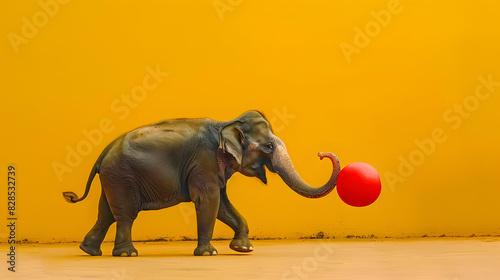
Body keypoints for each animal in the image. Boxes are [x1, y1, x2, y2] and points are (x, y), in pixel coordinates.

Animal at [62, 110, 342, 258]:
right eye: (268, 147)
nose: (321, 154)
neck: (227, 123)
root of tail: (103, 153)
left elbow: (222, 205)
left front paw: (244, 249)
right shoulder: (203, 162)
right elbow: (209, 201)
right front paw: (209, 253)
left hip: (113, 177)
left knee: (106, 213)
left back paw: (89, 251)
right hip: (123, 176)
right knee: (125, 214)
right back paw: (127, 255)